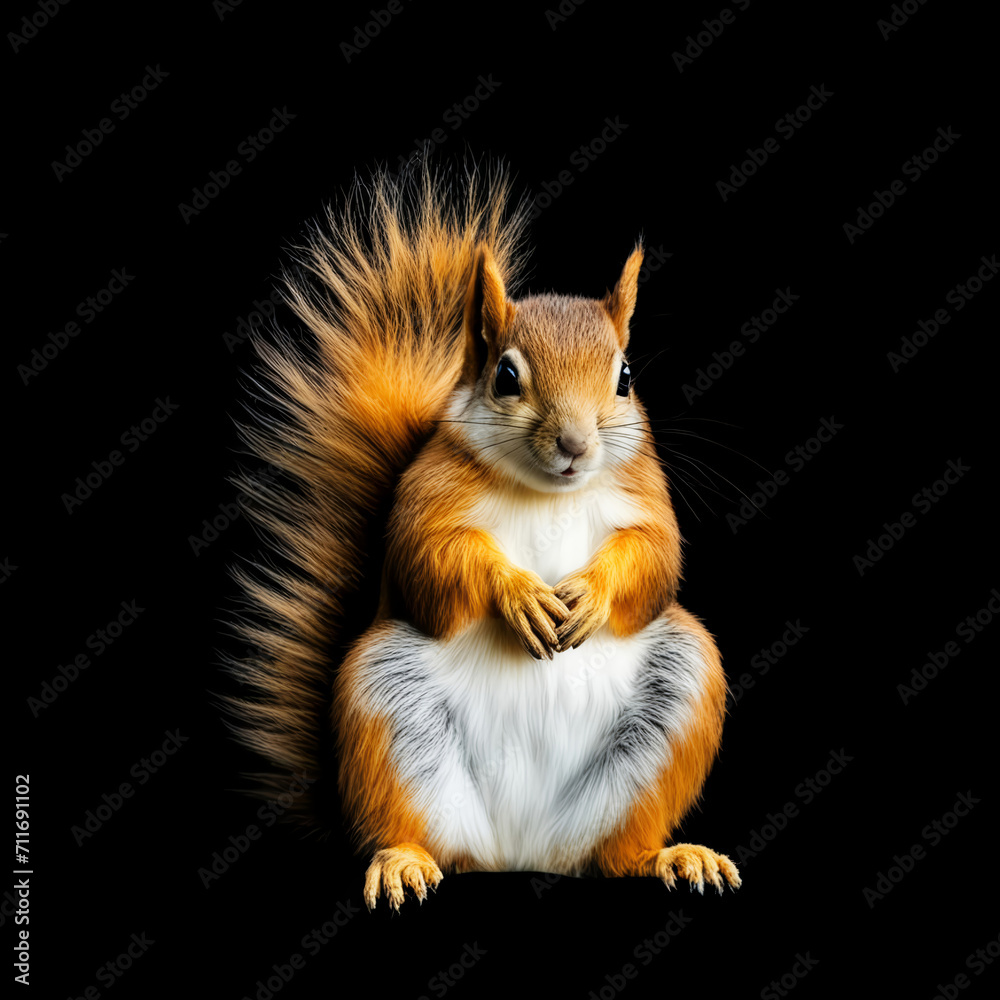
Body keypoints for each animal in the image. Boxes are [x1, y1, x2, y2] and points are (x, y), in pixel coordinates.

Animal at [227, 161, 740, 910]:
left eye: (624, 376)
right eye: (505, 375)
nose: (576, 445)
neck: (548, 492)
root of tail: (520, 851)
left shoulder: (647, 499)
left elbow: (654, 561)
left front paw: (589, 593)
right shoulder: (425, 496)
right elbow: (432, 562)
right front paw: (518, 594)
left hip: (676, 698)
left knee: (615, 854)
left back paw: (668, 856)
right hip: (384, 703)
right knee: (420, 832)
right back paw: (404, 860)